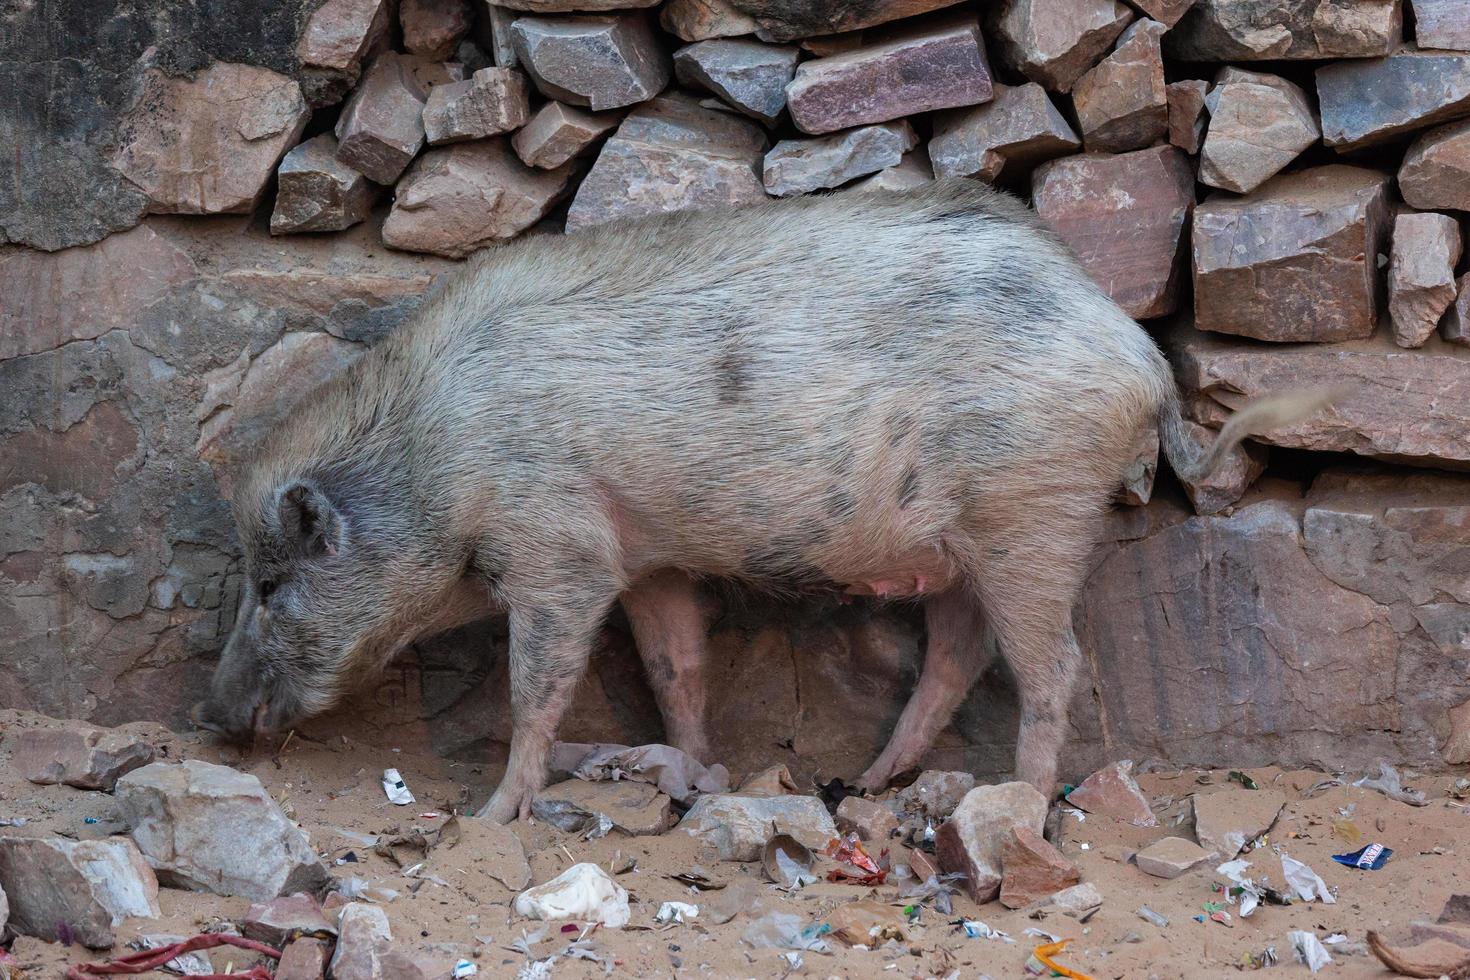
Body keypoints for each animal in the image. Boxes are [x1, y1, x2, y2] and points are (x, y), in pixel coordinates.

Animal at [192, 178, 1334, 822]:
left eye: (273, 582)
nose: (206, 713)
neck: (438, 458)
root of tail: (1136, 347)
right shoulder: (644, 556)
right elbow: (675, 665)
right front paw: (693, 769)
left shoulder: (559, 545)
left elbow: (539, 683)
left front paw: (494, 813)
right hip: (964, 548)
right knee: (958, 655)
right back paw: (871, 783)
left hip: (1035, 515)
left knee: (1052, 667)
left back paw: (1018, 805)